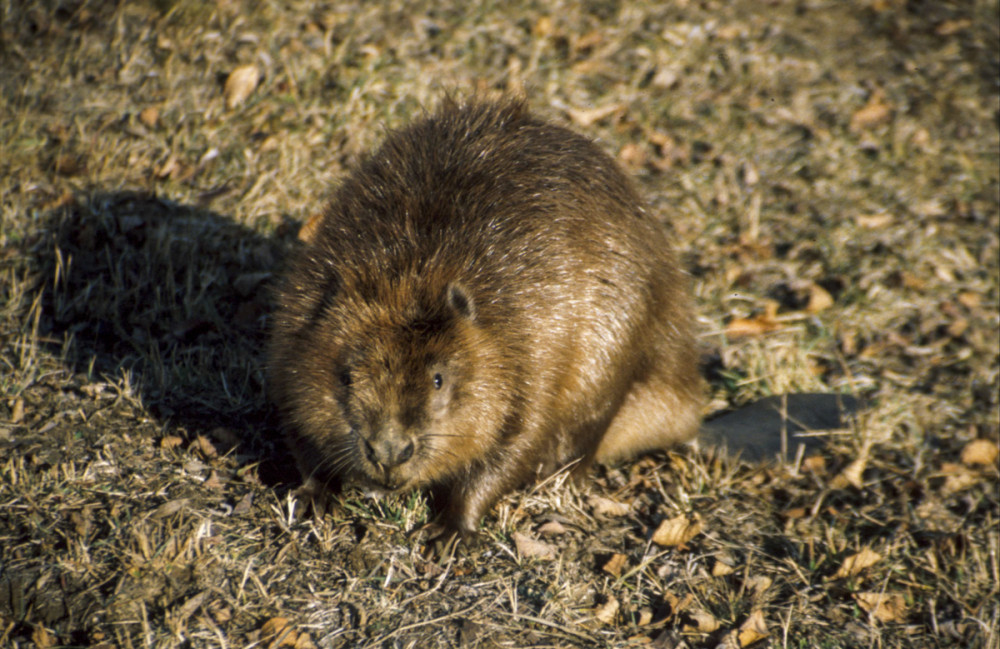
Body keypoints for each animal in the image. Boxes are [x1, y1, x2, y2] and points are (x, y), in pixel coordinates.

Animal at [266, 97, 712, 536]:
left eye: (439, 379)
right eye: (345, 376)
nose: (390, 452)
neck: (412, 272)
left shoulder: (530, 353)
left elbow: (514, 445)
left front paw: (447, 531)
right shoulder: (296, 320)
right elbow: (297, 422)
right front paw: (313, 498)